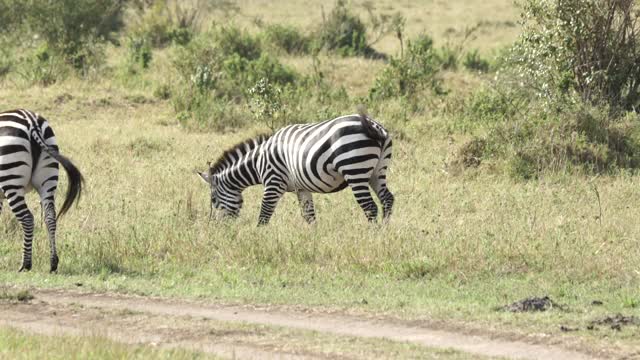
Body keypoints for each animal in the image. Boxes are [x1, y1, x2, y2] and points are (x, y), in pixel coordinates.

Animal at [0, 108, 84, 272]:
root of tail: (31, 121)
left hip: (11, 180)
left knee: (27, 218)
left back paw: (25, 264)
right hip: (48, 180)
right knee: (50, 217)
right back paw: (53, 263)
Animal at [198, 112, 392, 225]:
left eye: (213, 200)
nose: (217, 227)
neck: (258, 162)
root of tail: (375, 126)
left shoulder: (273, 183)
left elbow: (264, 214)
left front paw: (258, 239)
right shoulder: (302, 188)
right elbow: (309, 216)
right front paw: (313, 241)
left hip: (354, 168)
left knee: (370, 207)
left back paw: (373, 236)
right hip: (378, 171)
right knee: (387, 199)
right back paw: (385, 233)